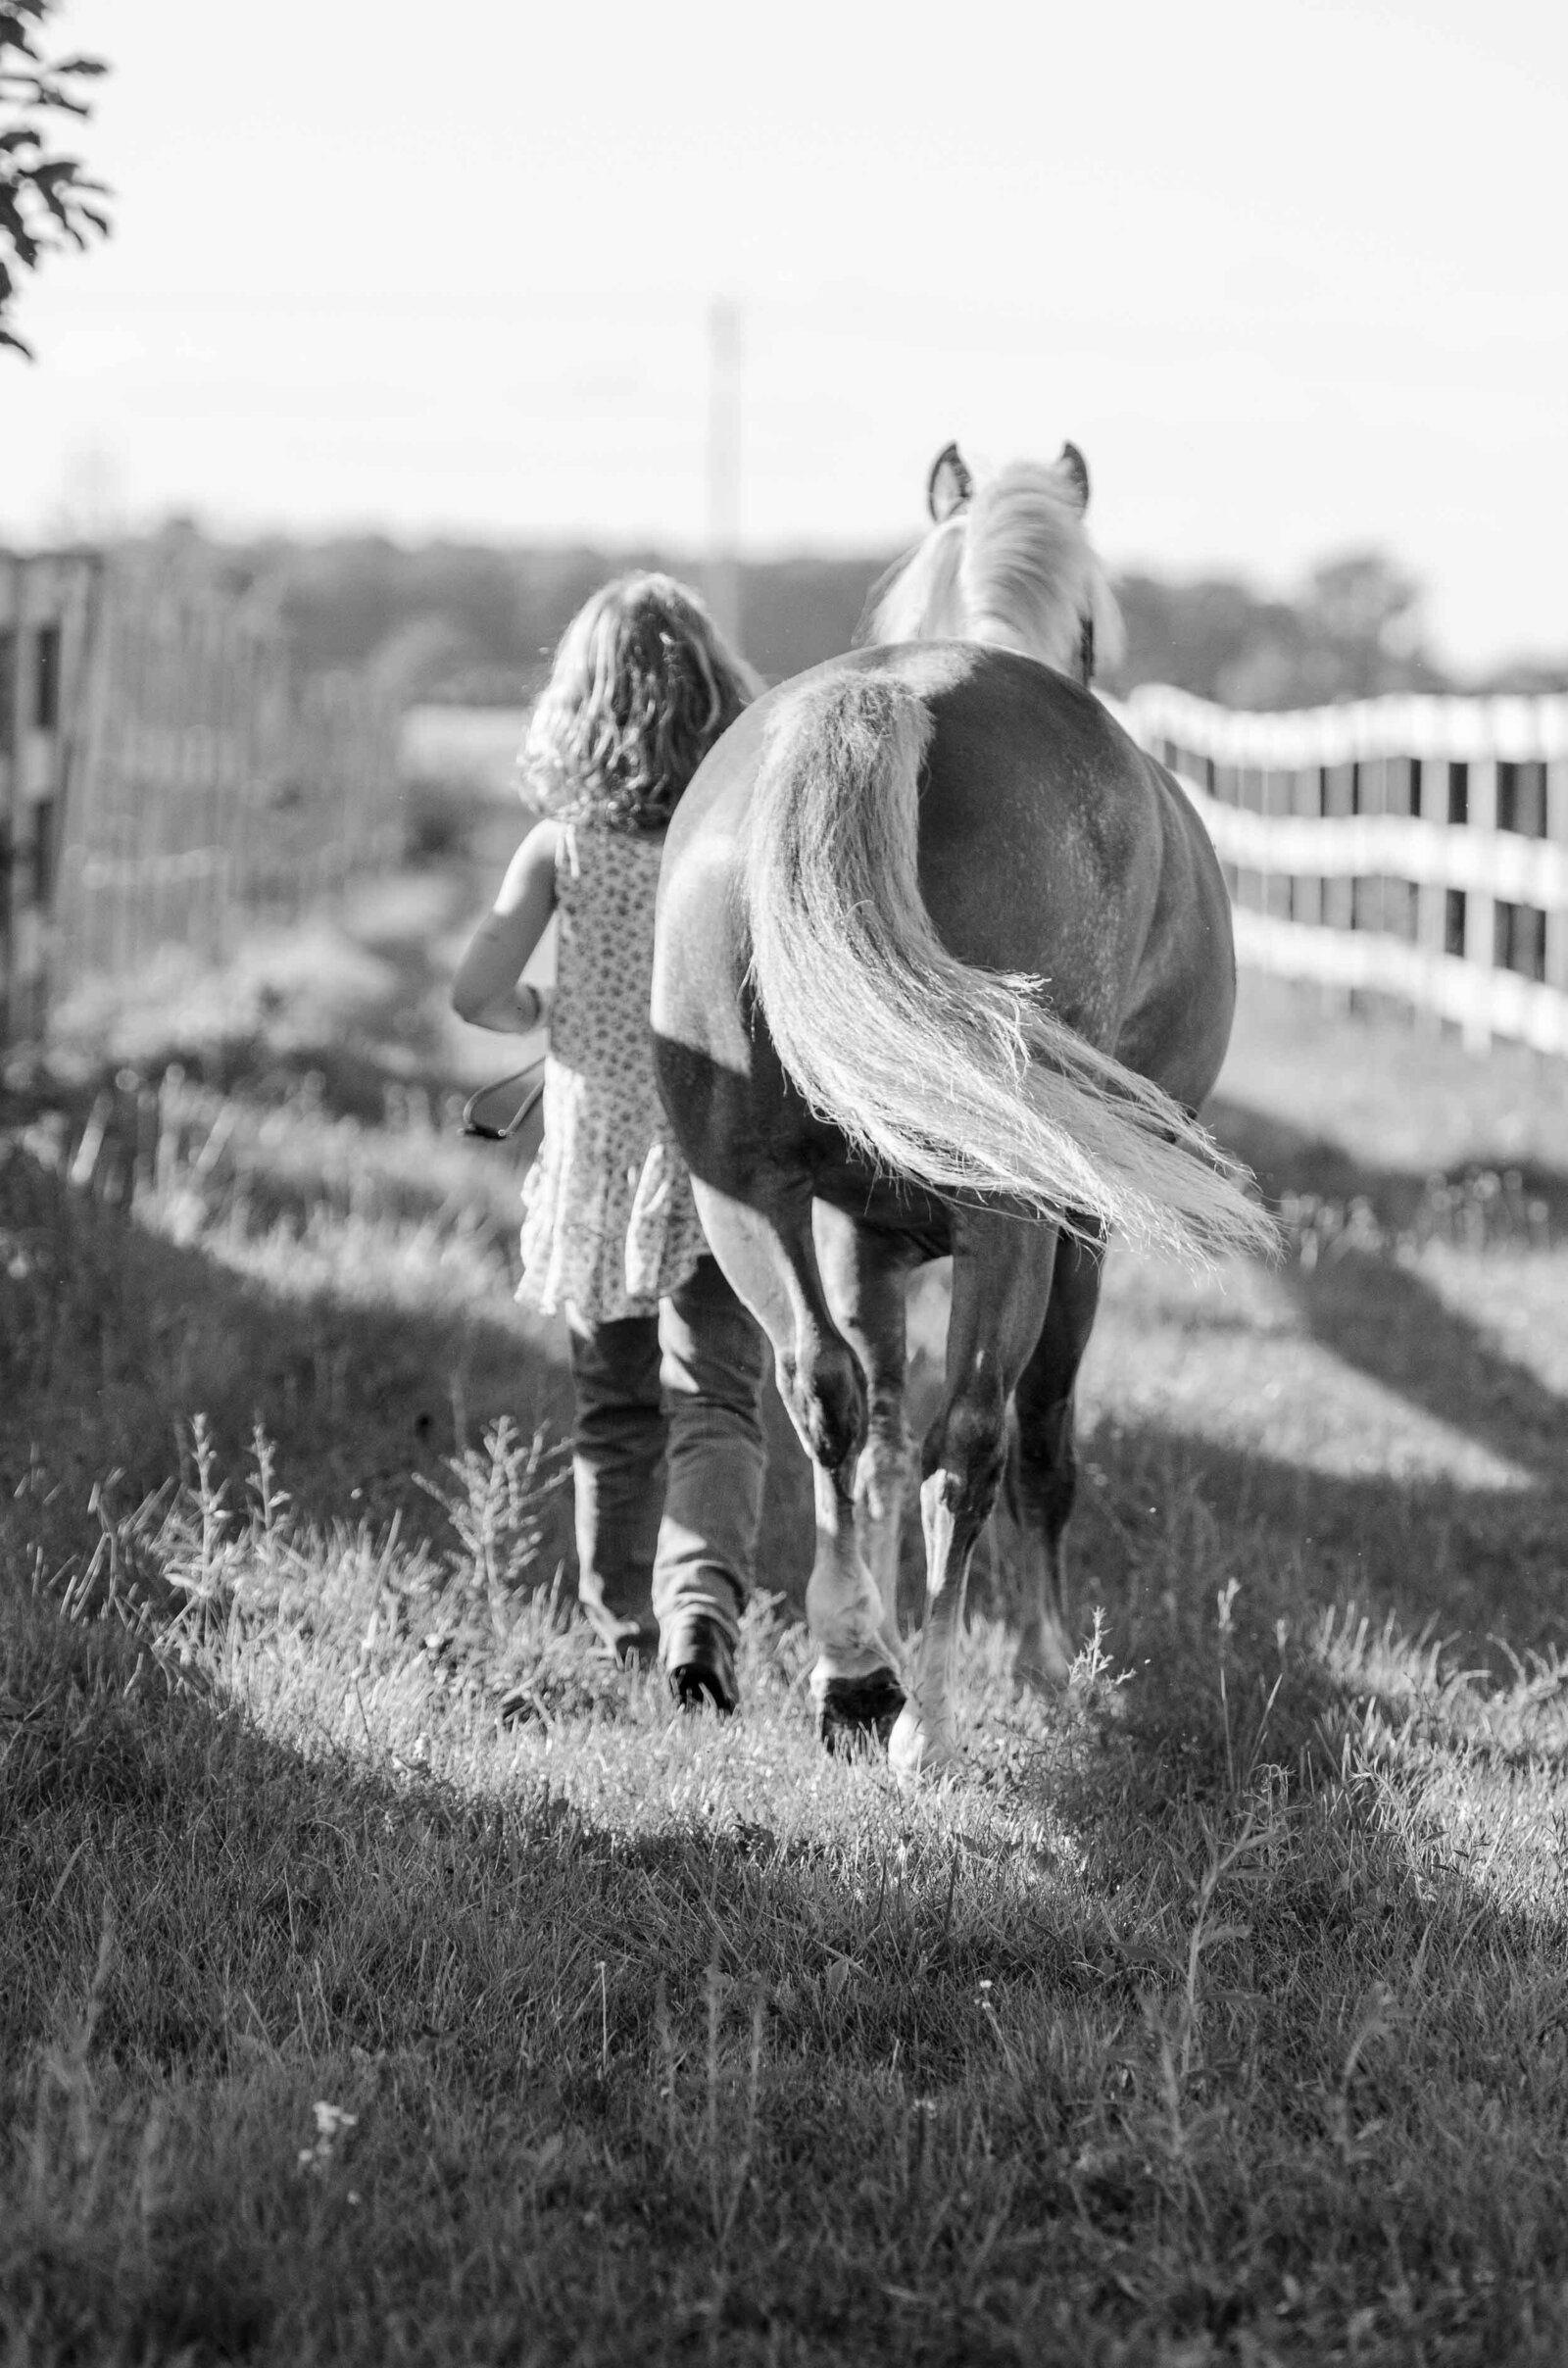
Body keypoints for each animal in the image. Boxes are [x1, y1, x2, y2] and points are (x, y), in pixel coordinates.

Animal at [649, 445, 1279, 1780]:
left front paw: (875, 1632)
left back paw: (857, 1675)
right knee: (979, 1436)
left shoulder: (856, 1231)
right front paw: (1043, 1660)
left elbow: (880, 1433)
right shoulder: (1082, 1235)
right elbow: (1038, 1436)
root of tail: (883, 706)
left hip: (743, 1193)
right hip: (1015, 1217)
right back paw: (931, 1712)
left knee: (825, 1393)